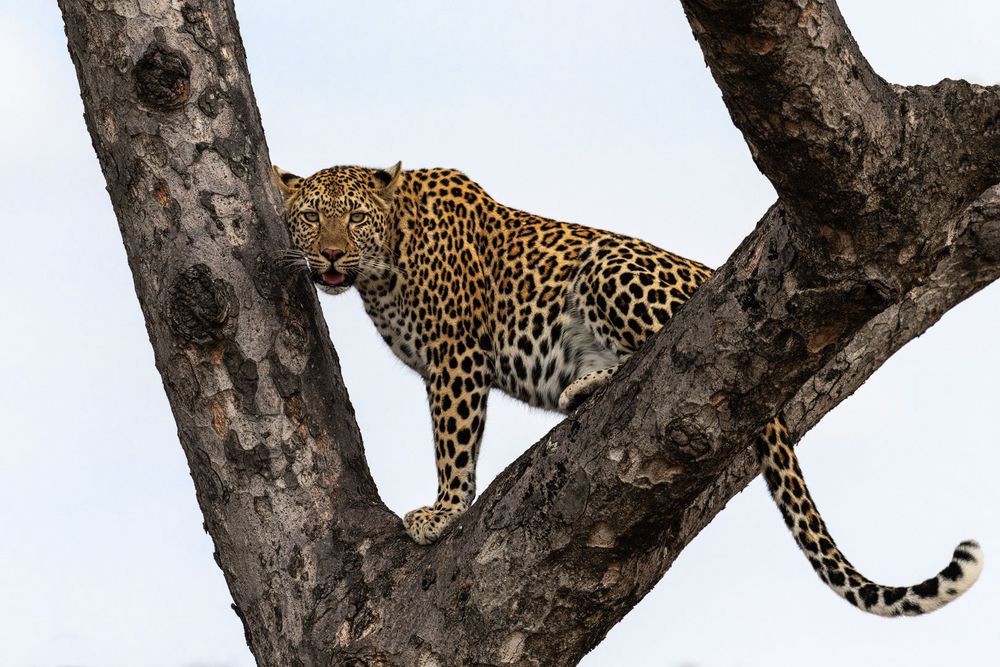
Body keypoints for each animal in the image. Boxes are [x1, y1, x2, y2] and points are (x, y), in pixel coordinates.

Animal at [274, 160, 984, 616]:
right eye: (309, 217)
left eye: (355, 219)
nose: (330, 255)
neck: (385, 264)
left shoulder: (455, 356)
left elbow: (454, 442)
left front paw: (443, 512)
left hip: (606, 265)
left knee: (667, 345)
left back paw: (587, 383)